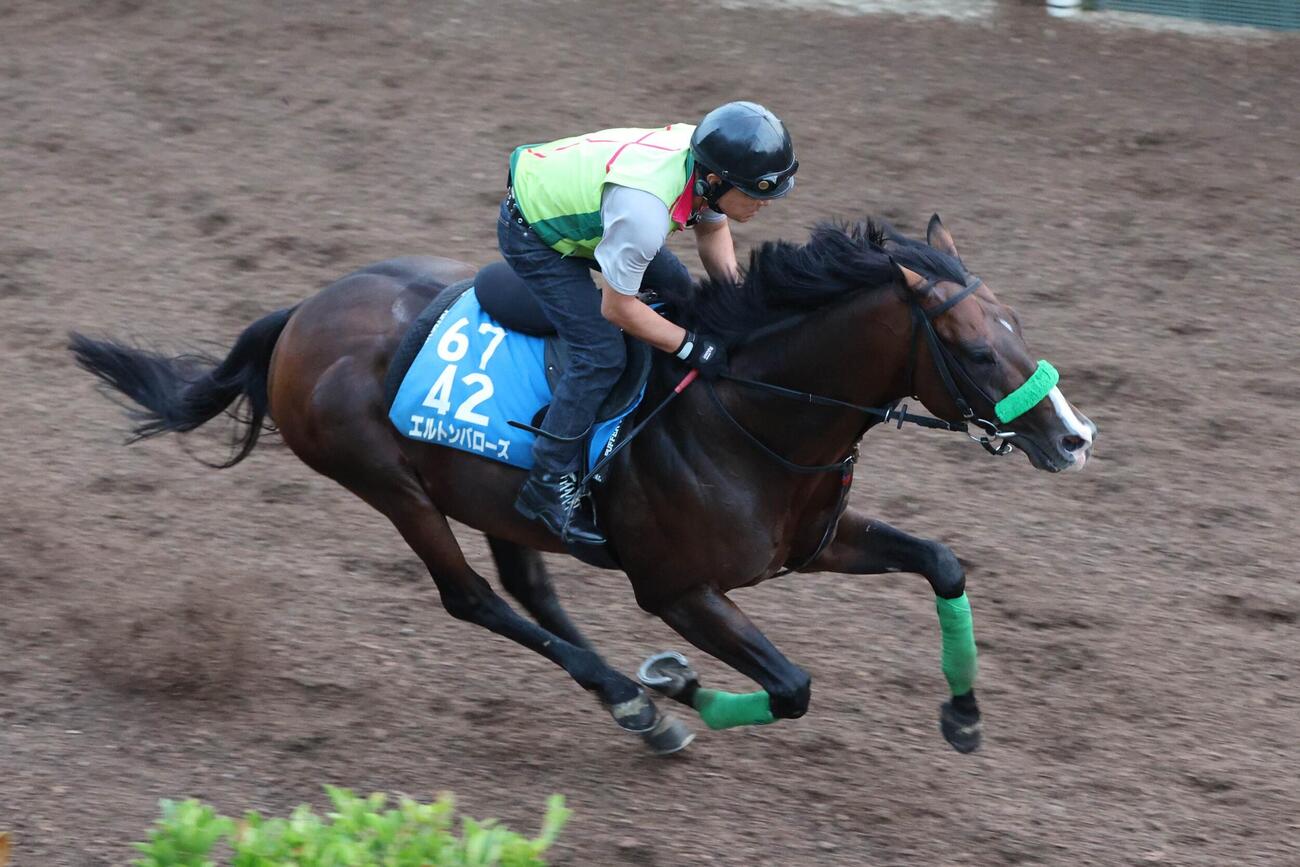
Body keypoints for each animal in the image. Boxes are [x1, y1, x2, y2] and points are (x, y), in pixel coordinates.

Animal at [69, 215, 1096, 755]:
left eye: (1015, 322)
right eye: (973, 350)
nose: (1073, 437)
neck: (752, 410)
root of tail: (300, 315)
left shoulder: (811, 543)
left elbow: (942, 560)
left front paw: (963, 713)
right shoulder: (677, 588)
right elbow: (795, 684)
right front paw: (680, 685)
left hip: (488, 494)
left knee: (530, 586)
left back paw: (628, 701)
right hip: (391, 485)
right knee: (474, 598)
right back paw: (639, 700)